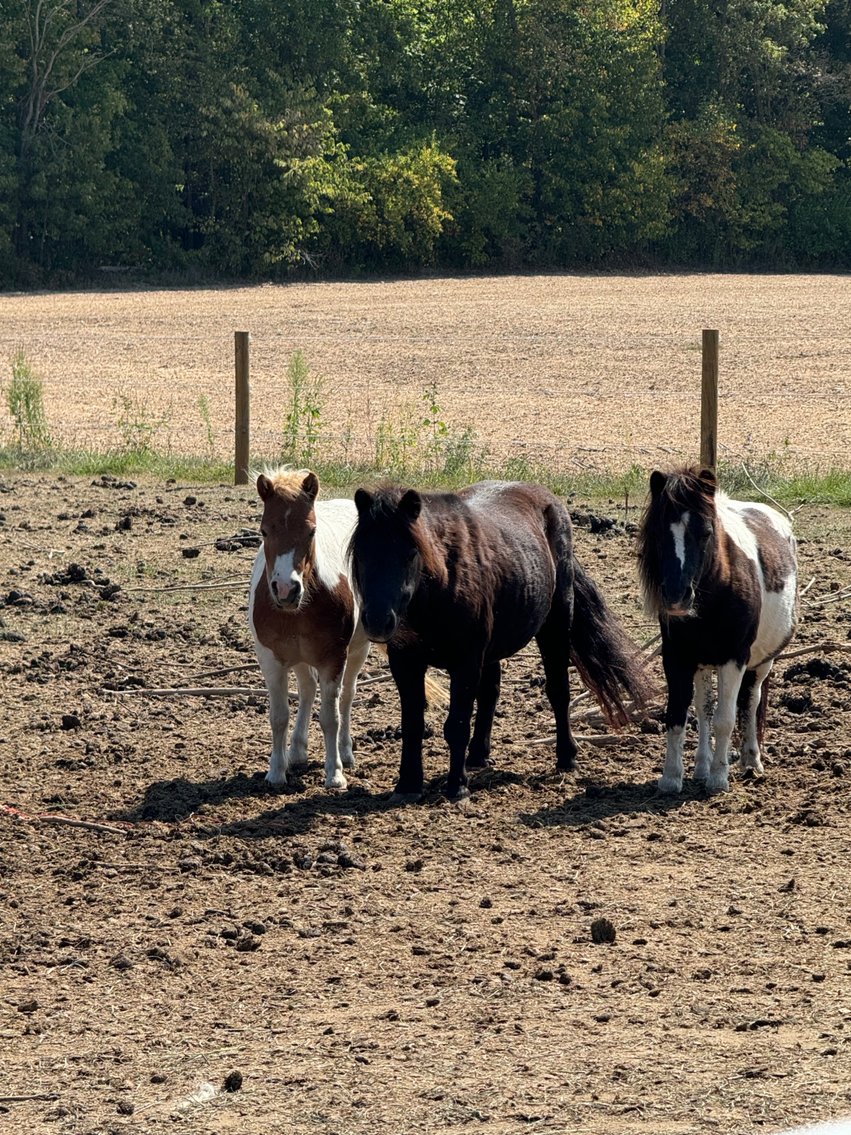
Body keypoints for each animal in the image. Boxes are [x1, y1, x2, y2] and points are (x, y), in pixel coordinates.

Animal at [248, 468, 370, 790]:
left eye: (311, 532)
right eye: (264, 531)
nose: (286, 589)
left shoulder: (333, 658)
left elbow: (330, 717)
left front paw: (335, 773)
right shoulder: (271, 659)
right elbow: (279, 716)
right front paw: (276, 772)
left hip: (357, 649)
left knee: (347, 696)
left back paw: (345, 753)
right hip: (300, 657)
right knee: (306, 689)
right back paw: (297, 751)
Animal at [348, 480, 651, 801]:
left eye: (410, 553)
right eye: (362, 554)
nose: (378, 620)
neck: (443, 582)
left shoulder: (466, 663)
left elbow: (456, 724)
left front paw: (457, 786)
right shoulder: (406, 663)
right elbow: (413, 724)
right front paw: (407, 785)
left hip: (555, 628)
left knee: (558, 692)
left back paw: (566, 756)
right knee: (491, 692)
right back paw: (478, 755)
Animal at [637, 465, 797, 795]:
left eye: (706, 533)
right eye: (657, 533)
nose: (677, 596)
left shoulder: (734, 658)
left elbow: (726, 718)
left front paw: (719, 778)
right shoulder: (677, 658)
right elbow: (679, 716)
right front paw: (671, 777)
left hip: (762, 662)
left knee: (750, 701)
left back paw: (750, 760)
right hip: (702, 663)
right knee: (704, 707)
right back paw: (701, 767)